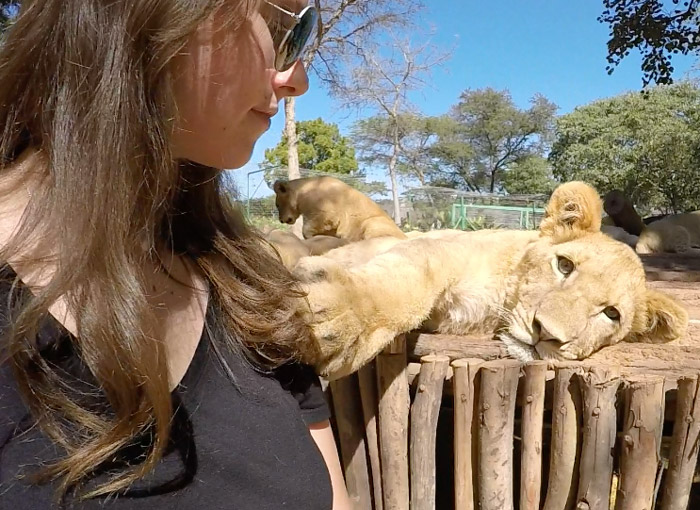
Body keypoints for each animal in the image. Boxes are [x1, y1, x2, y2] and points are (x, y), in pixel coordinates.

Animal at [296, 180, 688, 378]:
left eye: (611, 314)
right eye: (564, 265)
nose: (546, 333)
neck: (497, 304)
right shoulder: (440, 249)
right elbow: (405, 284)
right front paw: (336, 320)